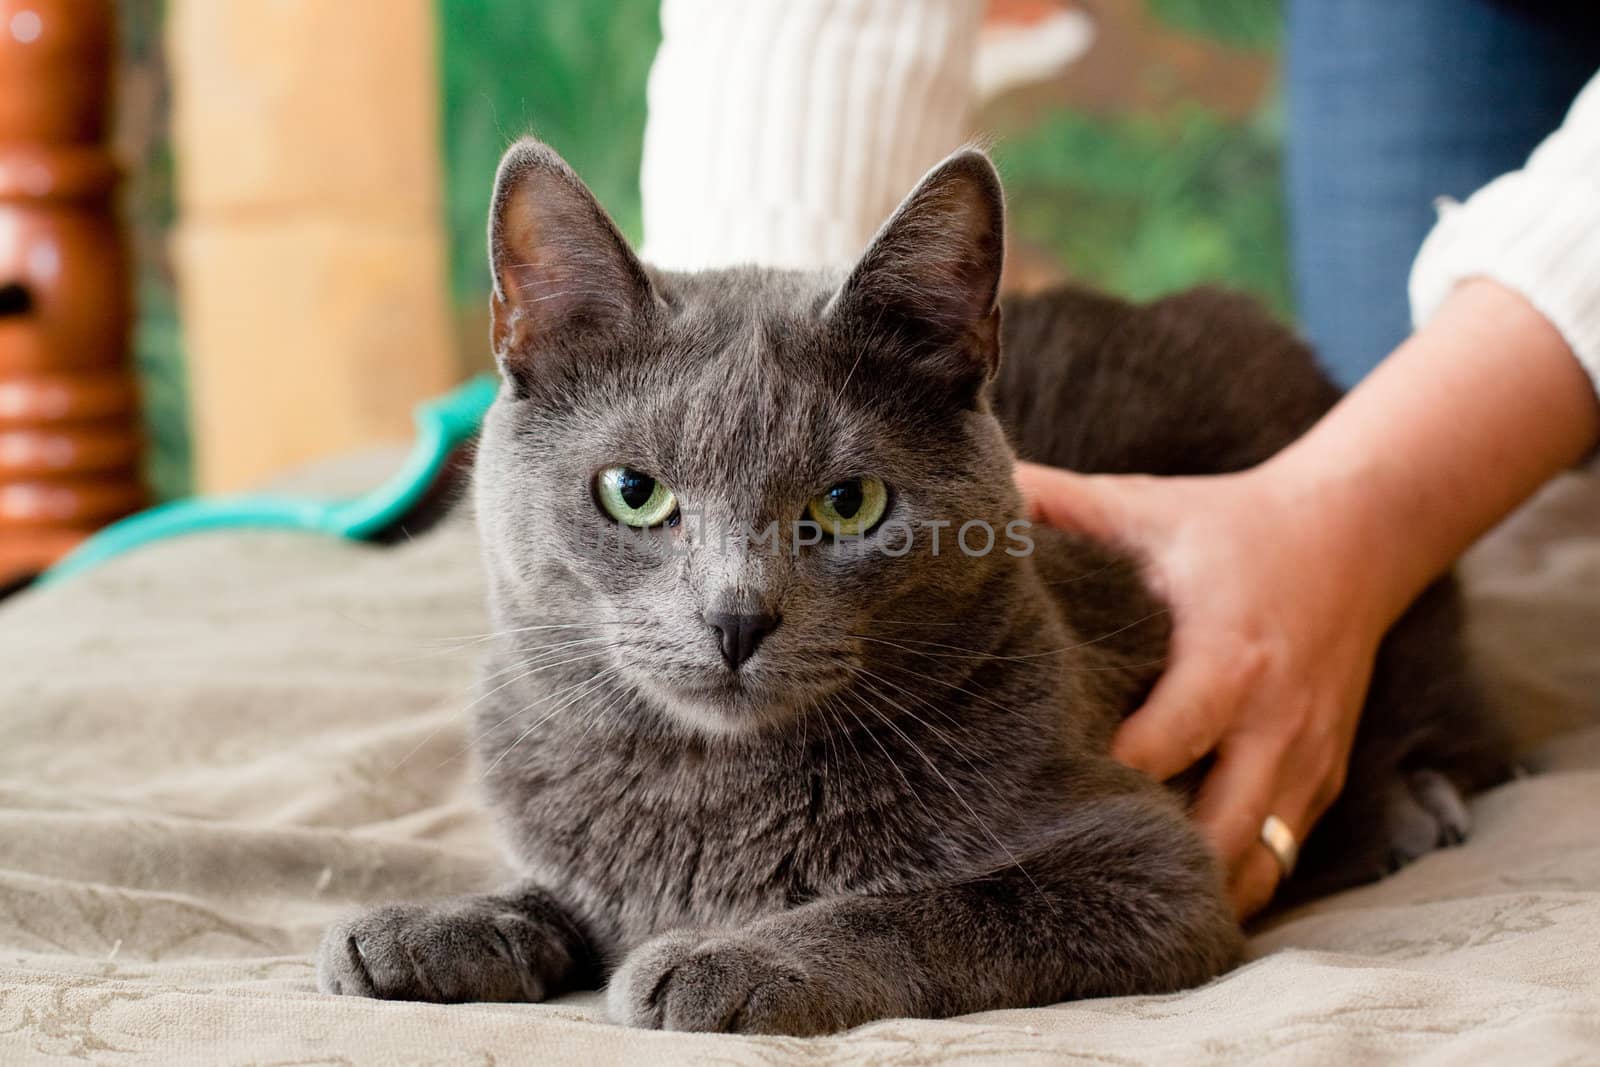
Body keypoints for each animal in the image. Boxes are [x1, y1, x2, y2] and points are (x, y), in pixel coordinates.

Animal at [318, 137, 1504, 1030]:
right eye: (634, 493)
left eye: (849, 503)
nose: (735, 616)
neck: (708, 792)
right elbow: (559, 894)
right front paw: (431, 924)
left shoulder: (1150, 867)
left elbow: (934, 906)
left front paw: (733, 960)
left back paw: (1414, 807)